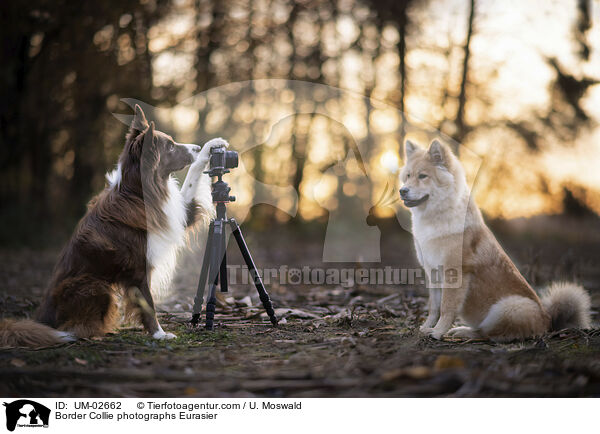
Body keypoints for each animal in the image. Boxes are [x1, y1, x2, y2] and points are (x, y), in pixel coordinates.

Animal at [0, 104, 225, 346]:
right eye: (171, 146)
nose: (197, 147)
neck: (138, 192)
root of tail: (42, 319)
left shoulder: (181, 213)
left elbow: (193, 177)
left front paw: (212, 146)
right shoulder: (138, 268)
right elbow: (148, 304)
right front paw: (159, 333)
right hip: (95, 285)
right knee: (75, 326)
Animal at [398, 141, 592, 340]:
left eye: (423, 176)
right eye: (408, 176)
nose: (402, 191)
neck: (435, 217)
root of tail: (548, 321)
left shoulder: (454, 272)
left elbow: (447, 307)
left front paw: (437, 332)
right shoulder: (433, 273)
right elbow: (434, 307)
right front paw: (426, 327)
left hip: (507, 308)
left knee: (487, 333)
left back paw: (464, 332)